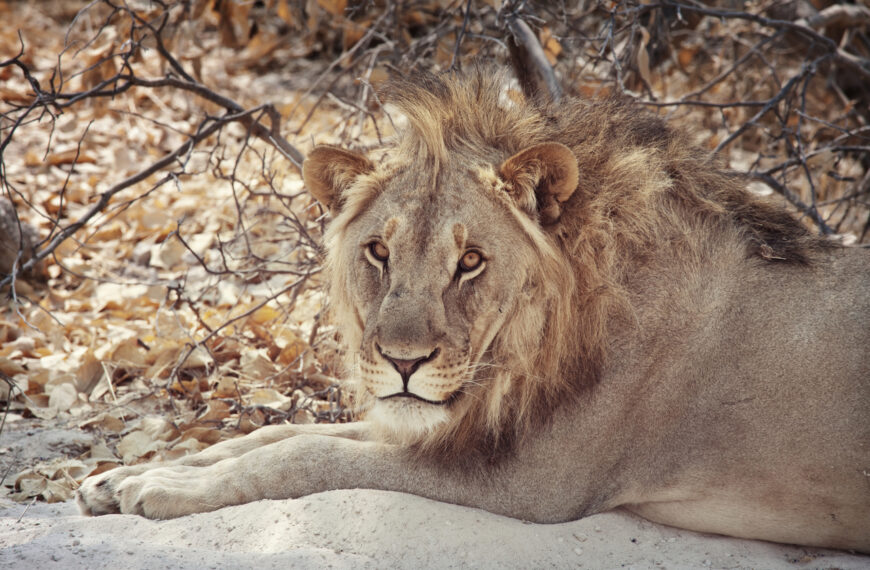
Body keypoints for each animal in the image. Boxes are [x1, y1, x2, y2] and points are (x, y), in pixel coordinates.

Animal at [76, 66, 870, 552]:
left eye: (471, 262)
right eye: (378, 252)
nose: (402, 362)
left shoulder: (530, 483)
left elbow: (306, 455)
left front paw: (161, 485)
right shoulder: (452, 429)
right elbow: (278, 435)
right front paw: (124, 477)